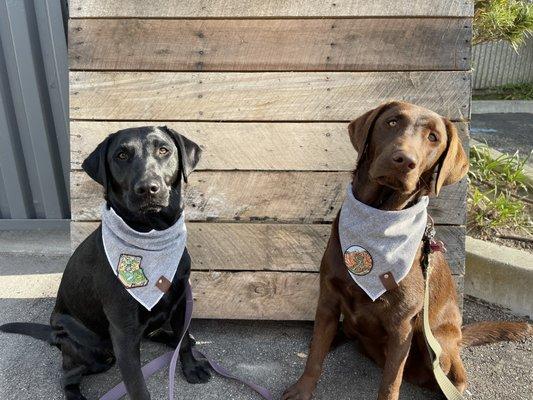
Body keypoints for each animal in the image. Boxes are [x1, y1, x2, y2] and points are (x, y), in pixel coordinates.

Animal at [1, 126, 211, 398]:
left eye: (164, 150)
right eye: (121, 155)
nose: (148, 188)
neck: (151, 232)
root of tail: (53, 334)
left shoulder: (181, 301)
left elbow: (183, 341)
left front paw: (191, 367)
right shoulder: (123, 333)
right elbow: (137, 386)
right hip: (90, 351)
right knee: (67, 377)